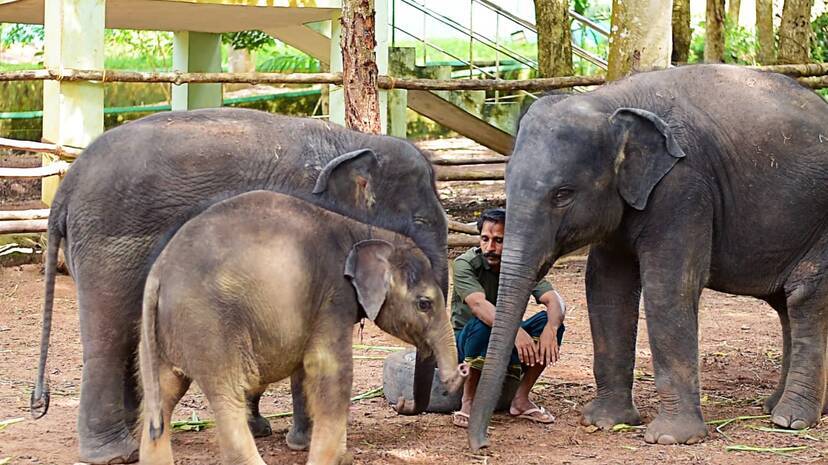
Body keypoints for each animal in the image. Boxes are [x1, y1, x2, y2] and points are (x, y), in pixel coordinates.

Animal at [138, 191, 466, 465]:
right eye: (424, 304)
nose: (401, 403)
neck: (365, 231)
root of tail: (158, 273)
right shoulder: (333, 295)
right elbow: (330, 369)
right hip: (209, 325)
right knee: (227, 394)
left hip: (163, 333)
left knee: (165, 392)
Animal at [466, 64, 828, 450]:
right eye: (506, 183)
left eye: (563, 194)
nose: (483, 445)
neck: (608, 100)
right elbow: (606, 287)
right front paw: (604, 422)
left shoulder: (684, 187)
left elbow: (669, 288)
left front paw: (670, 438)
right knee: (786, 304)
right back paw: (785, 407)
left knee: (805, 298)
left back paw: (789, 420)